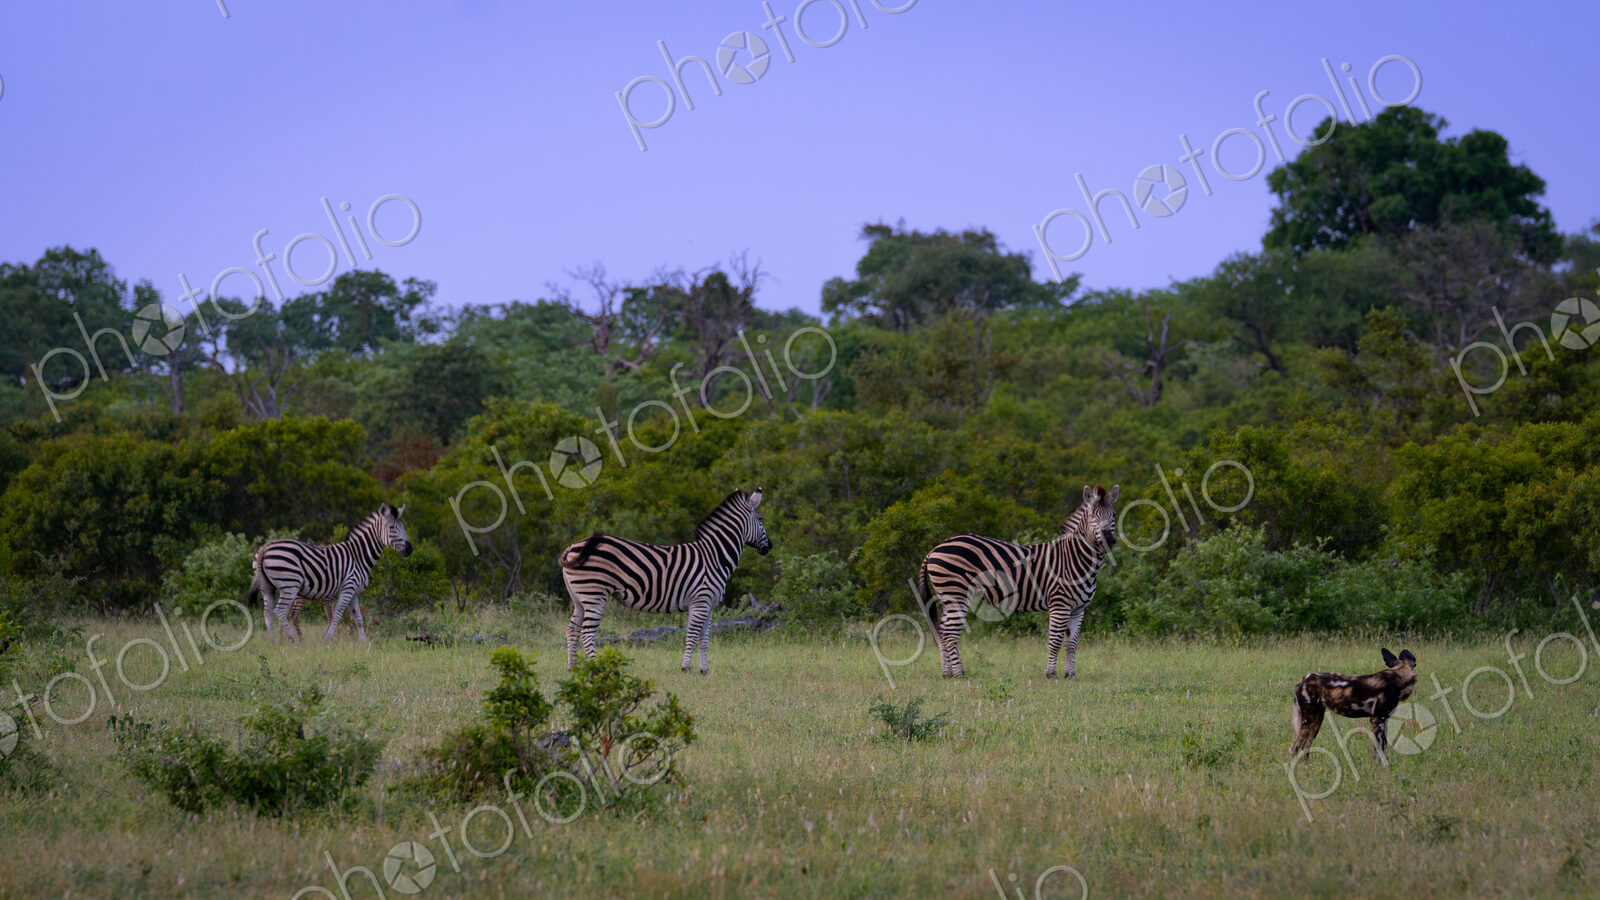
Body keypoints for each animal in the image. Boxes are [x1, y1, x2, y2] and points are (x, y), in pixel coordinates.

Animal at [245, 503, 413, 642]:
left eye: (403, 527)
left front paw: (364, 643)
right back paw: (293, 640)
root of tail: (265, 548)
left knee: (267, 612)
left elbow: (358, 619)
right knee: (279, 611)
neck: (358, 556)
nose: (410, 549)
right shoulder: (347, 588)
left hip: (267, 586)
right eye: (392, 528)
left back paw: (273, 642)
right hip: (290, 585)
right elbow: (337, 615)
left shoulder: (354, 593)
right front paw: (329, 639)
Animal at [559, 488, 772, 675]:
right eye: (761, 519)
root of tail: (571, 547)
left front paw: (704, 671)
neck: (714, 557)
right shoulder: (700, 602)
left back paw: (572, 668)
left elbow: (704, 639)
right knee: (587, 633)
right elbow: (691, 636)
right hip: (594, 594)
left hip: (580, 597)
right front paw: (686, 669)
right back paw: (596, 669)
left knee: (572, 630)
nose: (770, 546)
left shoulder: (709, 605)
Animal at [920, 484, 1119, 679]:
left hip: (947, 597)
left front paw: (1070, 675)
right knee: (950, 633)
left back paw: (947, 673)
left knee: (942, 630)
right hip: (956, 593)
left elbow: (1072, 644)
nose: (1109, 540)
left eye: (1114, 515)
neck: (1075, 558)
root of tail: (935, 548)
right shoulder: (1059, 604)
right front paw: (1051, 675)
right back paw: (959, 674)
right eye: (1092, 516)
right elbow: (1055, 641)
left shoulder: (1078, 609)